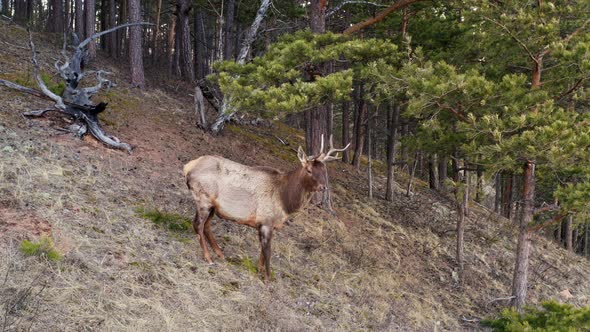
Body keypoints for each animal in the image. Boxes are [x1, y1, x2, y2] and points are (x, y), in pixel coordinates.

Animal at [185, 136, 350, 282]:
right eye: (309, 170)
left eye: (324, 170)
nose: (323, 187)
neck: (285, 201)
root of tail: (188, 167)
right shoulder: (266, 221)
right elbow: (268, 251)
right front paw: (267, 279)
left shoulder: (266, 224)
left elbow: (262, 252)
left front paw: (259, 271)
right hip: (203, 199)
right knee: (197, 225)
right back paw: (208, 258)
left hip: (213, 206)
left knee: (206, 226)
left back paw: (220, 254)